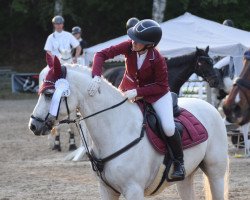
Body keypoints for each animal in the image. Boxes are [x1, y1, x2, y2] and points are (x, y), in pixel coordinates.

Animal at [29, 62, 229, 200]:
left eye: (48, 94)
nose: (33, 125)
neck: (116, 129)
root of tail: (210, 107)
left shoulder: (134, 190)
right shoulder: (107, 190)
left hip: (215, 173)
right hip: (186, 177)